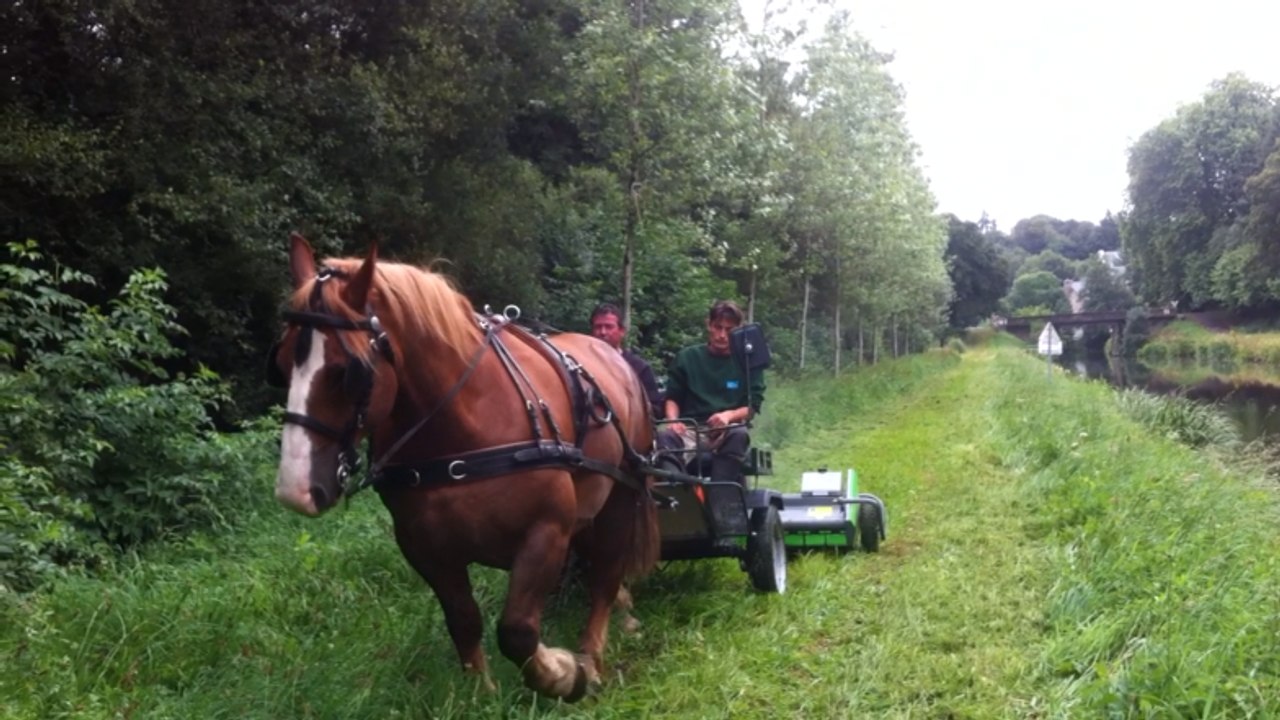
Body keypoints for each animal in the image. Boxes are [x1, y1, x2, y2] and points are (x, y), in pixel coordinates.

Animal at [267, 233, 659, 701]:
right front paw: (481, 694)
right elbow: (464, 620)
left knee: (606, 573)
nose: (296, 489)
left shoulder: (546, 530)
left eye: (350, 373)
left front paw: (564, 672)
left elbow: (517, 631)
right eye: (281, 362)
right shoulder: (424, 547)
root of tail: (614, 356)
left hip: (622, 493)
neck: (463, 428)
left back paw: (594, 655)